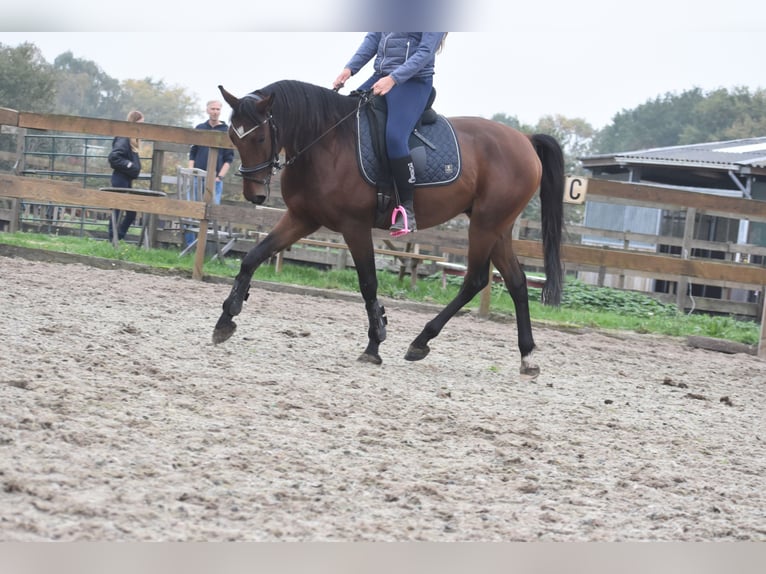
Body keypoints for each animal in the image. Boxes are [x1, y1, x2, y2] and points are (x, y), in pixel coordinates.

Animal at [213, 80, 564, 378]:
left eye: (260, 137)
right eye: (232, 137)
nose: (254, 195)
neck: (327, 142)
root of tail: (525, 140)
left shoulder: (354, 226)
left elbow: (368, 283)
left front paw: (374, 343)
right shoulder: (302, 218)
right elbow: (252, 257)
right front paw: (227, 317)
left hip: (485, 225)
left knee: (476, 279)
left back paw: (421, 341)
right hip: (498, 227)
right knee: (516, 282)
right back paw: (526, 356)